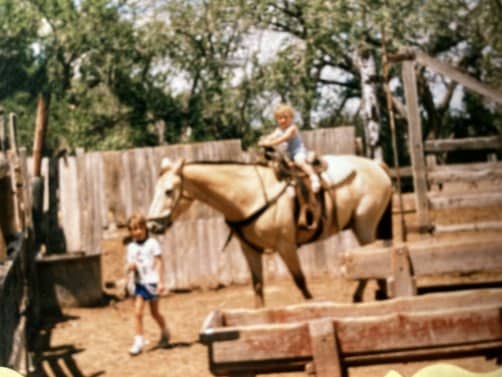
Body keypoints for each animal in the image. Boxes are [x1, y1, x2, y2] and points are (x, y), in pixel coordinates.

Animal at [147, 153, 394, 306]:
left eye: (169, 191)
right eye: (156, 189)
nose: (152, 224)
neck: (248, 194)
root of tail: (376, 166)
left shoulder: (286, 246)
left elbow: (300, 282)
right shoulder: (250, 250)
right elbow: (258, 288)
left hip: (364, 225)